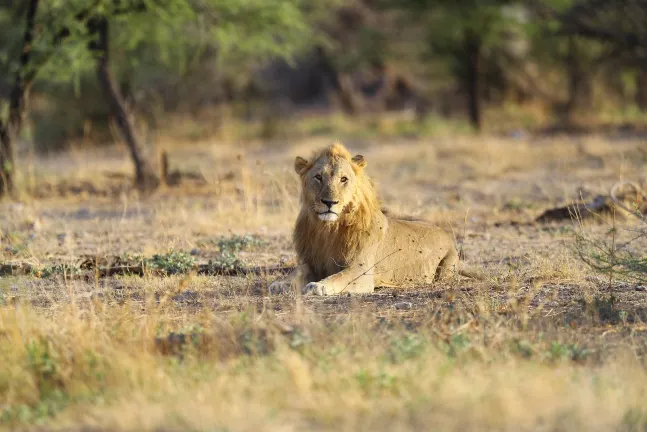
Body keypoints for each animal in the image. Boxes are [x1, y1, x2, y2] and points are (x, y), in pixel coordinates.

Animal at [270, 140, 464, 296]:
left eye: (343, 179)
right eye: (318, 177)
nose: (329, 202)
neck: (328, 229)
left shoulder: (361, 271)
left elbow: (339, 277)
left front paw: (318, 286)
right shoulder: (311, 263)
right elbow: (296, 273)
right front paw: (280, 284)